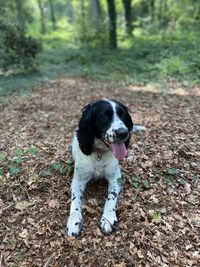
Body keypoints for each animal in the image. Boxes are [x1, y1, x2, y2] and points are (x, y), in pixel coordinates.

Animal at [67, 99, 145, 238]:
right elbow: (75, 200)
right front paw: (74, 221)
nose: (123, 132)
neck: (100, 153)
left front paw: (108, 218)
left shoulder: (116, 178)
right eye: (104, 116)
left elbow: (111, 198)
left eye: (122, 115)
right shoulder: (78, 181)